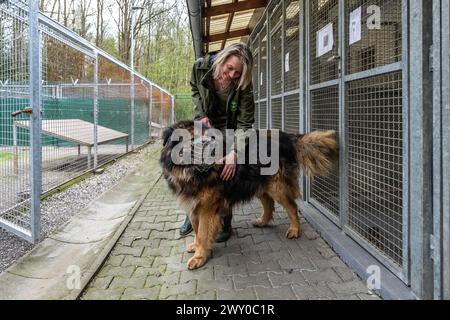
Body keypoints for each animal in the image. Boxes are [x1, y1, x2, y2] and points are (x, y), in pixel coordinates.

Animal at [160, 120, 340, 270]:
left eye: (206, 136)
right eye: (190, 138)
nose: (209, 144)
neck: (191, 173)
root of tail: (286, 136)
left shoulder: (207, 208)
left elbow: (203, 234)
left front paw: (200, 257)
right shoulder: (193, 205)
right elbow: (197, 231)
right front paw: (196, 247)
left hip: (276, 186)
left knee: (291, 206)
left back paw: (295, 229)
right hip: (259, 183)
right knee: (269, 204)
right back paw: (262, 221)